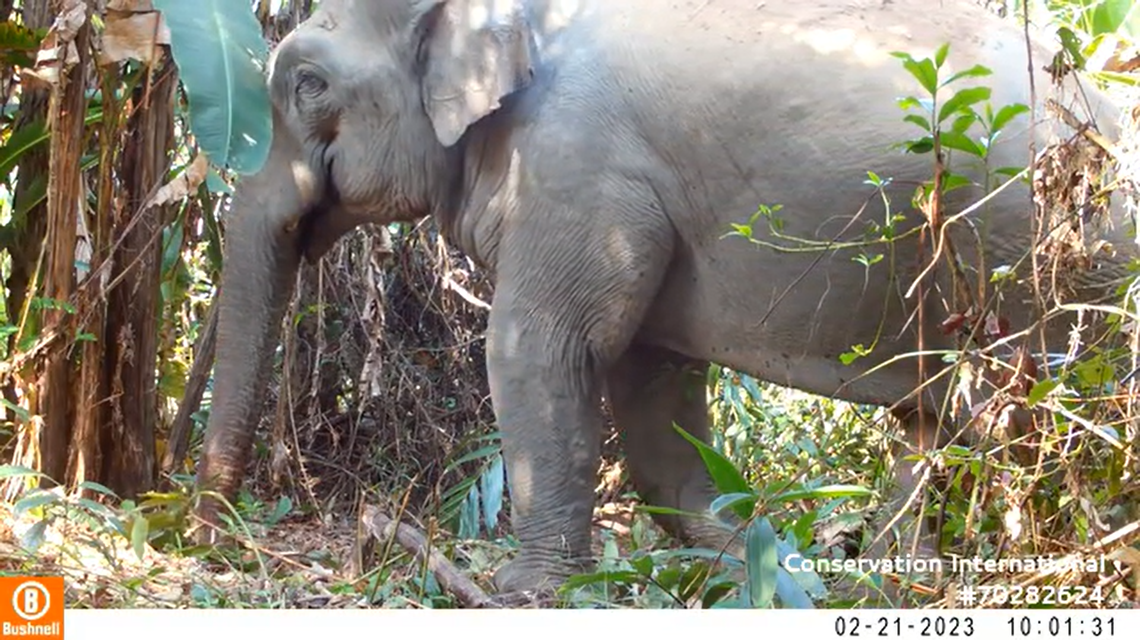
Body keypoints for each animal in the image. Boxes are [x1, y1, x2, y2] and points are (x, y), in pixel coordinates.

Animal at [190, 0, 1136, 602]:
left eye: (307, 83)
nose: (202, 531)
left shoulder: (576, 164)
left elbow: (541, 348)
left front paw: (525, 590)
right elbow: (651, 387)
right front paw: (755, 556)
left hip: (1045, 254)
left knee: (1019, 413)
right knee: (939, 421)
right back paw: (891, 579)